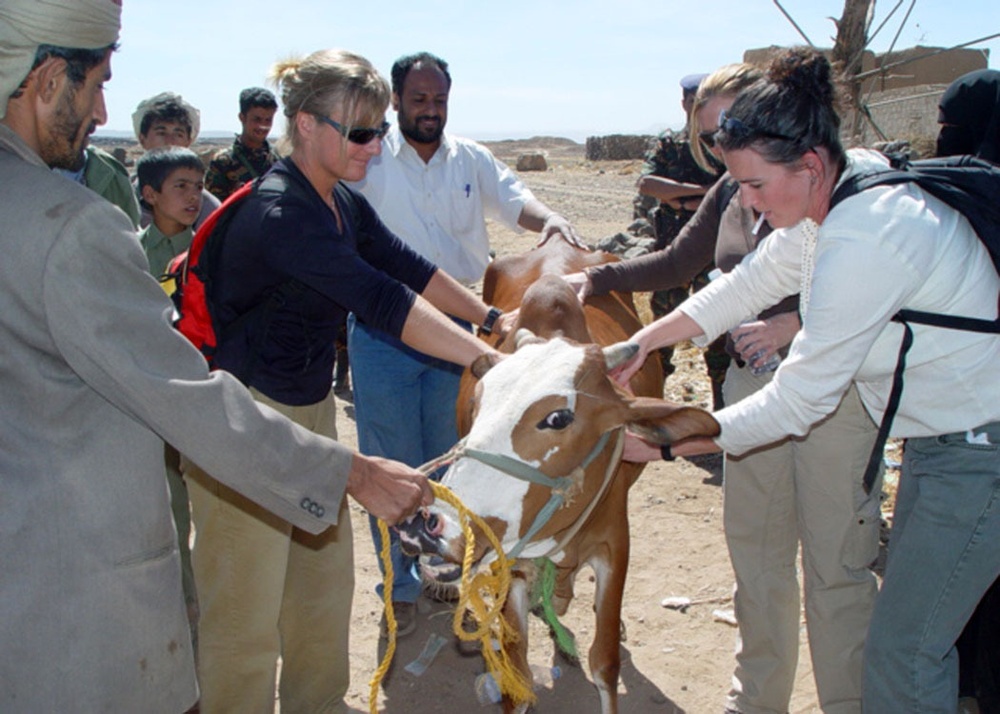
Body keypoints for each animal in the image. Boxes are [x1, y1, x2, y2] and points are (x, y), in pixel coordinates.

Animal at [398, 241, 720, 712]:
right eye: (477, 401)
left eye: (558, 417)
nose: (425, 522)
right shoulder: (511, 559)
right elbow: (517, 672)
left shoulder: (615, 544)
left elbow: (604, 662)